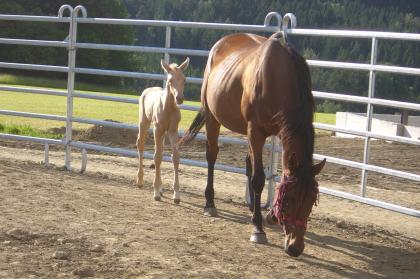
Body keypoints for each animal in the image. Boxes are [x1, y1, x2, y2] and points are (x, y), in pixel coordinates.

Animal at [136, 58, 189, 203]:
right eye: (170, 80)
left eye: (184, 79)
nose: (179, 98)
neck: (168, 108)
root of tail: (148, 89)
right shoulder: (157, 129)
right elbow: (157, 157)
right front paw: (155, 192)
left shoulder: (173, 130)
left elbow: (175, 157)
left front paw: (176, 195)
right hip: (144, 122)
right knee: (141, 144)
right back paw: (140, 180)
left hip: (163, 132)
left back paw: (160, 189)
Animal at [179, 31, 326, 258]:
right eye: (290, 199)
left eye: (311, 201)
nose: (295, 248)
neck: (279, 77)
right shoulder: (255, 130)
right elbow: (258, 178)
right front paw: (258, 228)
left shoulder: (277, 132)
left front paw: (270, 214)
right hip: (213, 118)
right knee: (212, 156)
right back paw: (210, 203)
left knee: (247, 162)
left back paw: (250, 207)